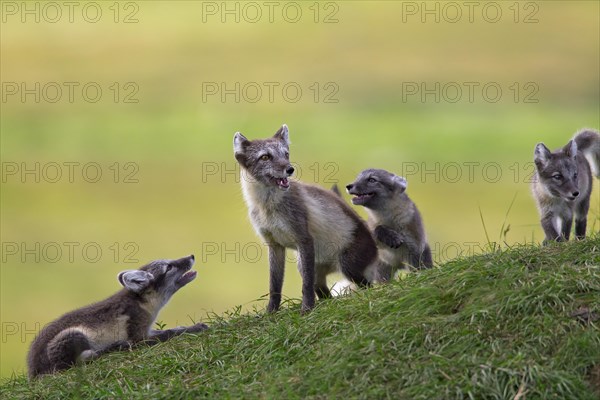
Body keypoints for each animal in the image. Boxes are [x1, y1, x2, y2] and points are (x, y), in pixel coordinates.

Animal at [233, 124, 378, 312]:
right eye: (265, 157)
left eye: (286, 154)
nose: (290, 169)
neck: (268, 208)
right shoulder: (274, 245)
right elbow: (274, 286)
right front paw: (271, 311)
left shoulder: (304, 239)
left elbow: (306, 286)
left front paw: (307, 309)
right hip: (305, 266)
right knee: (325, 295)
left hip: (347, 267)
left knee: (369, 287)